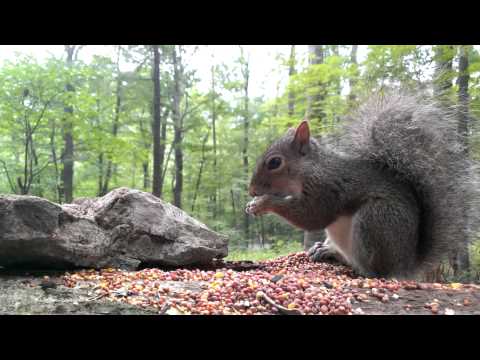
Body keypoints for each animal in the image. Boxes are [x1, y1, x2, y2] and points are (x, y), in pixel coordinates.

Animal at [246, 92, 478, 278]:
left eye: (275, 162)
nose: (252, 191)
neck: (311, 168)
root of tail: (405, 266)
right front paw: (252, 204)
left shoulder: (327, 188)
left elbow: (312, 216)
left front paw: (263, 203)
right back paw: (326, 250)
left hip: (376, 220)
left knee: (373, 271)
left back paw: (348, 262)